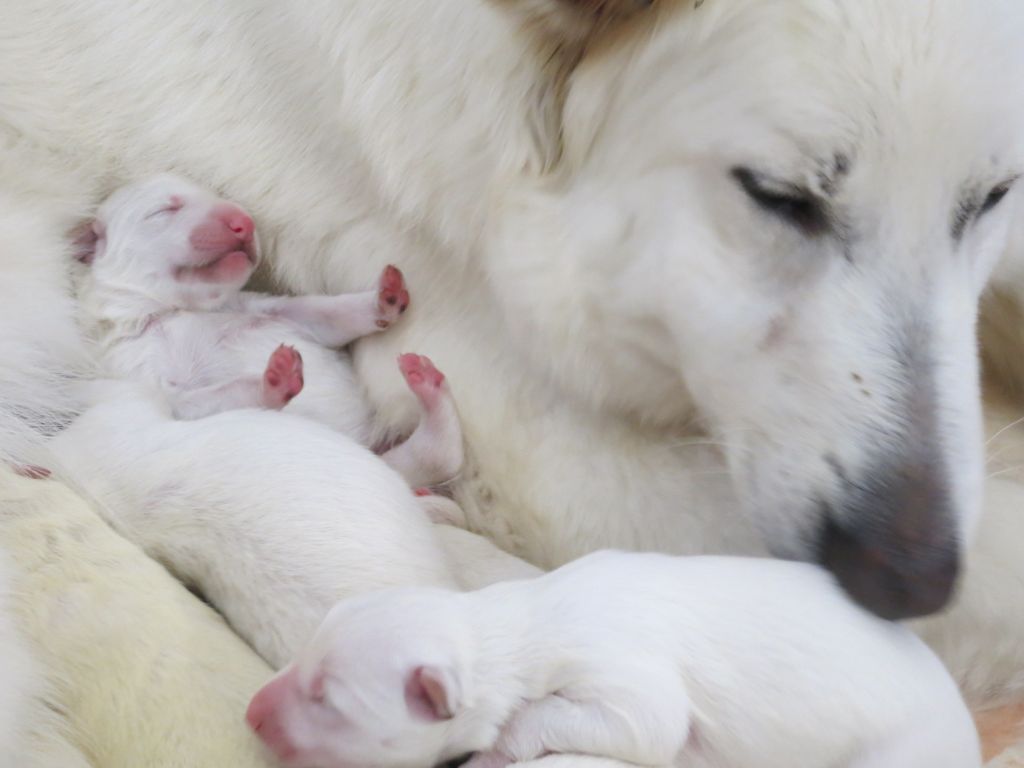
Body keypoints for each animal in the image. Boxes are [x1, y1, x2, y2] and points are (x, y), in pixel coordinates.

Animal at [247, 552, 983, 768]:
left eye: (328, 699)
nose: (252, 711)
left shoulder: (615, 668)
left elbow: (647, 722)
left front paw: (500, 746)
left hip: (898, 755)